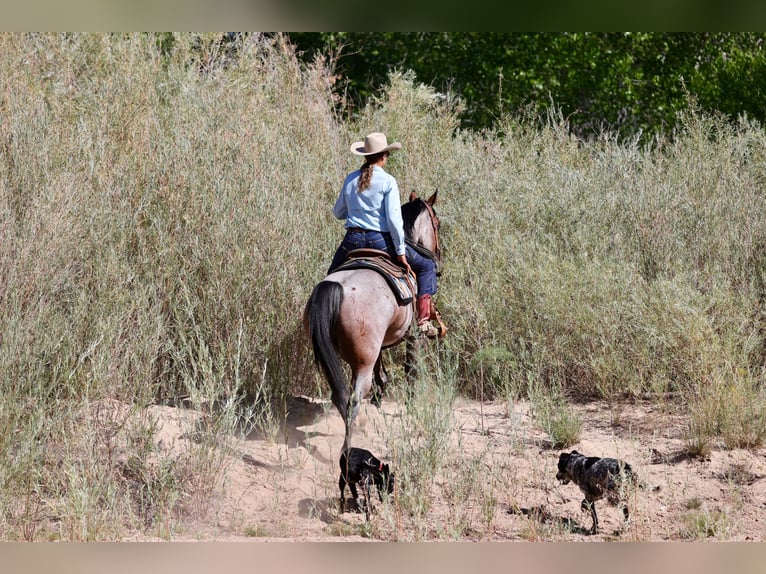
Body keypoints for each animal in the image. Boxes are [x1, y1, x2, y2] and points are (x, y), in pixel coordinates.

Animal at [304, 190, 441, 449]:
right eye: (437, 223)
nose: (437, 258)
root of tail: (335, 287)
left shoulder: (378, 345)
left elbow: (382, 372)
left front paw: (379, 400)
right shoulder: (413, 336)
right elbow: (410, 370)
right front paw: (409, 405)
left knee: (340, 396)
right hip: (362, 363)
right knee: (352, 401)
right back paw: (348, 448)